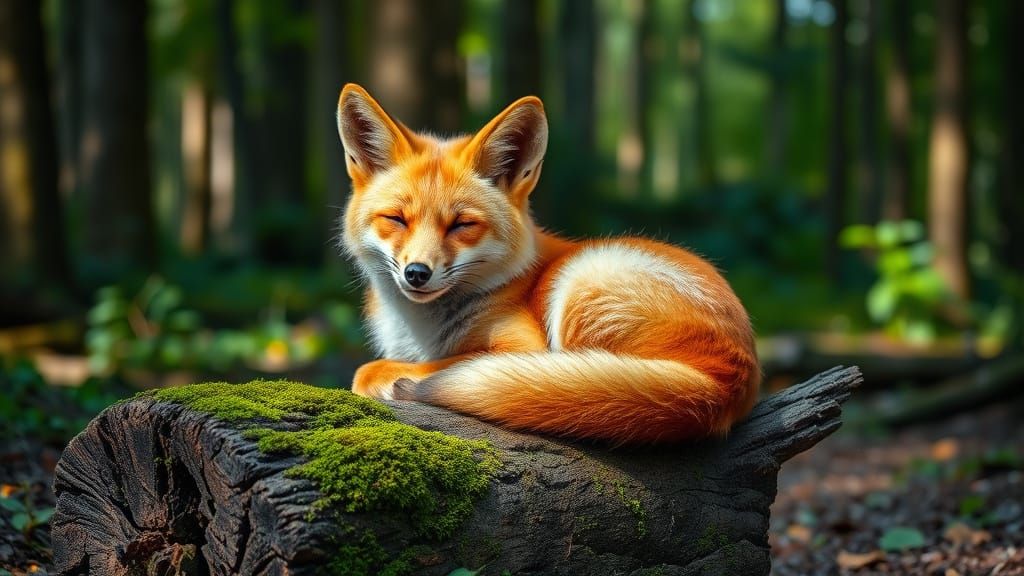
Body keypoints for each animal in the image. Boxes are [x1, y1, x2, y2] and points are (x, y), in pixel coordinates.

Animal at [335, 83, 761, 444]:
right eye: (396, 219)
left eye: (461, 225)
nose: (417, 274)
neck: (420, 331)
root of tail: (728, 382)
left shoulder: (521, 345)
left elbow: (379, 368)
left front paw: (389, 377)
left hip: (581, 281)